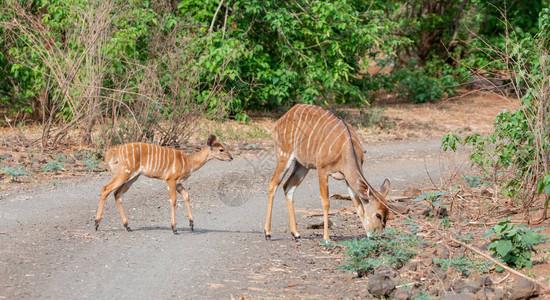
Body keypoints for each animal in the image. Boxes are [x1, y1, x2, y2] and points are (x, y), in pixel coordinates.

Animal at [95, 135, 233, 233]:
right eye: (221, 149)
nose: (231, 158)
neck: (188, 162)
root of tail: (112, 152)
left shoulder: (178, 184)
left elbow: (187, 196)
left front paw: (192, 225)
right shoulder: (170, 180)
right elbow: (173, 200)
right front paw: (174, 228)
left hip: (132, 177)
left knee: (117, 194)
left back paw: (128, 226)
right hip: (125, 173)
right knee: (105, 189)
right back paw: (96, 224)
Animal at [266, 103, 390, 241]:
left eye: (388, 215)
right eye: (378, 215)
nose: (379, 236)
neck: (346, 151)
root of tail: (282, 118)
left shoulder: (347, 178)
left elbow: (358, 205)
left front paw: (367, 234)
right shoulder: (322, 169)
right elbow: (326, 202)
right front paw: (326, 238)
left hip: (303, 165)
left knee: (288, 186)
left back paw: (296, 234)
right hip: (284, 155)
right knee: (273, 184)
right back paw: (268, 233)